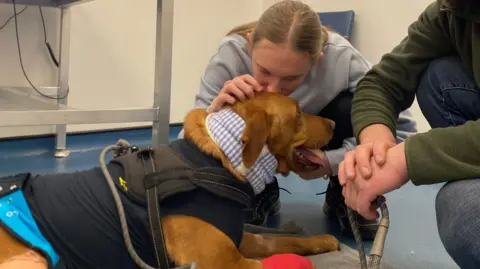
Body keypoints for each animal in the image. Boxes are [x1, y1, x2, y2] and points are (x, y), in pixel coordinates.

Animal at [0, 91, 338, 266]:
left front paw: (321, 240)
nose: (334, 123)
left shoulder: (242, 240)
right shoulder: (228, 263)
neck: (217, 160)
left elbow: (284, 240)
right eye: (297, 114)